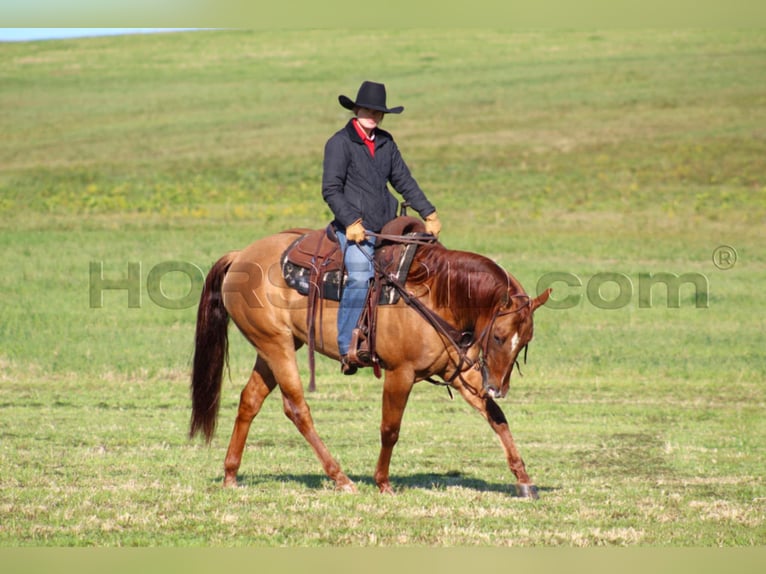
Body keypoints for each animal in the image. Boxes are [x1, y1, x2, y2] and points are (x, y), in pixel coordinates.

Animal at [192, 220, 552, 500]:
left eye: (525, 342)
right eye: (499, 337)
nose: (498, 387)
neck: (436, 293)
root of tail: (241, 256)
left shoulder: (459, 372)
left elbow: (497, 418)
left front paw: (524, 480)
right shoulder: (400, 373)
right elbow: (390, 429)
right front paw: (383, 483)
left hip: (275, 347)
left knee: (250, 400)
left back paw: (231, 474)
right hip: (276, 345)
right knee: (297, 408)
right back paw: (341, 478)